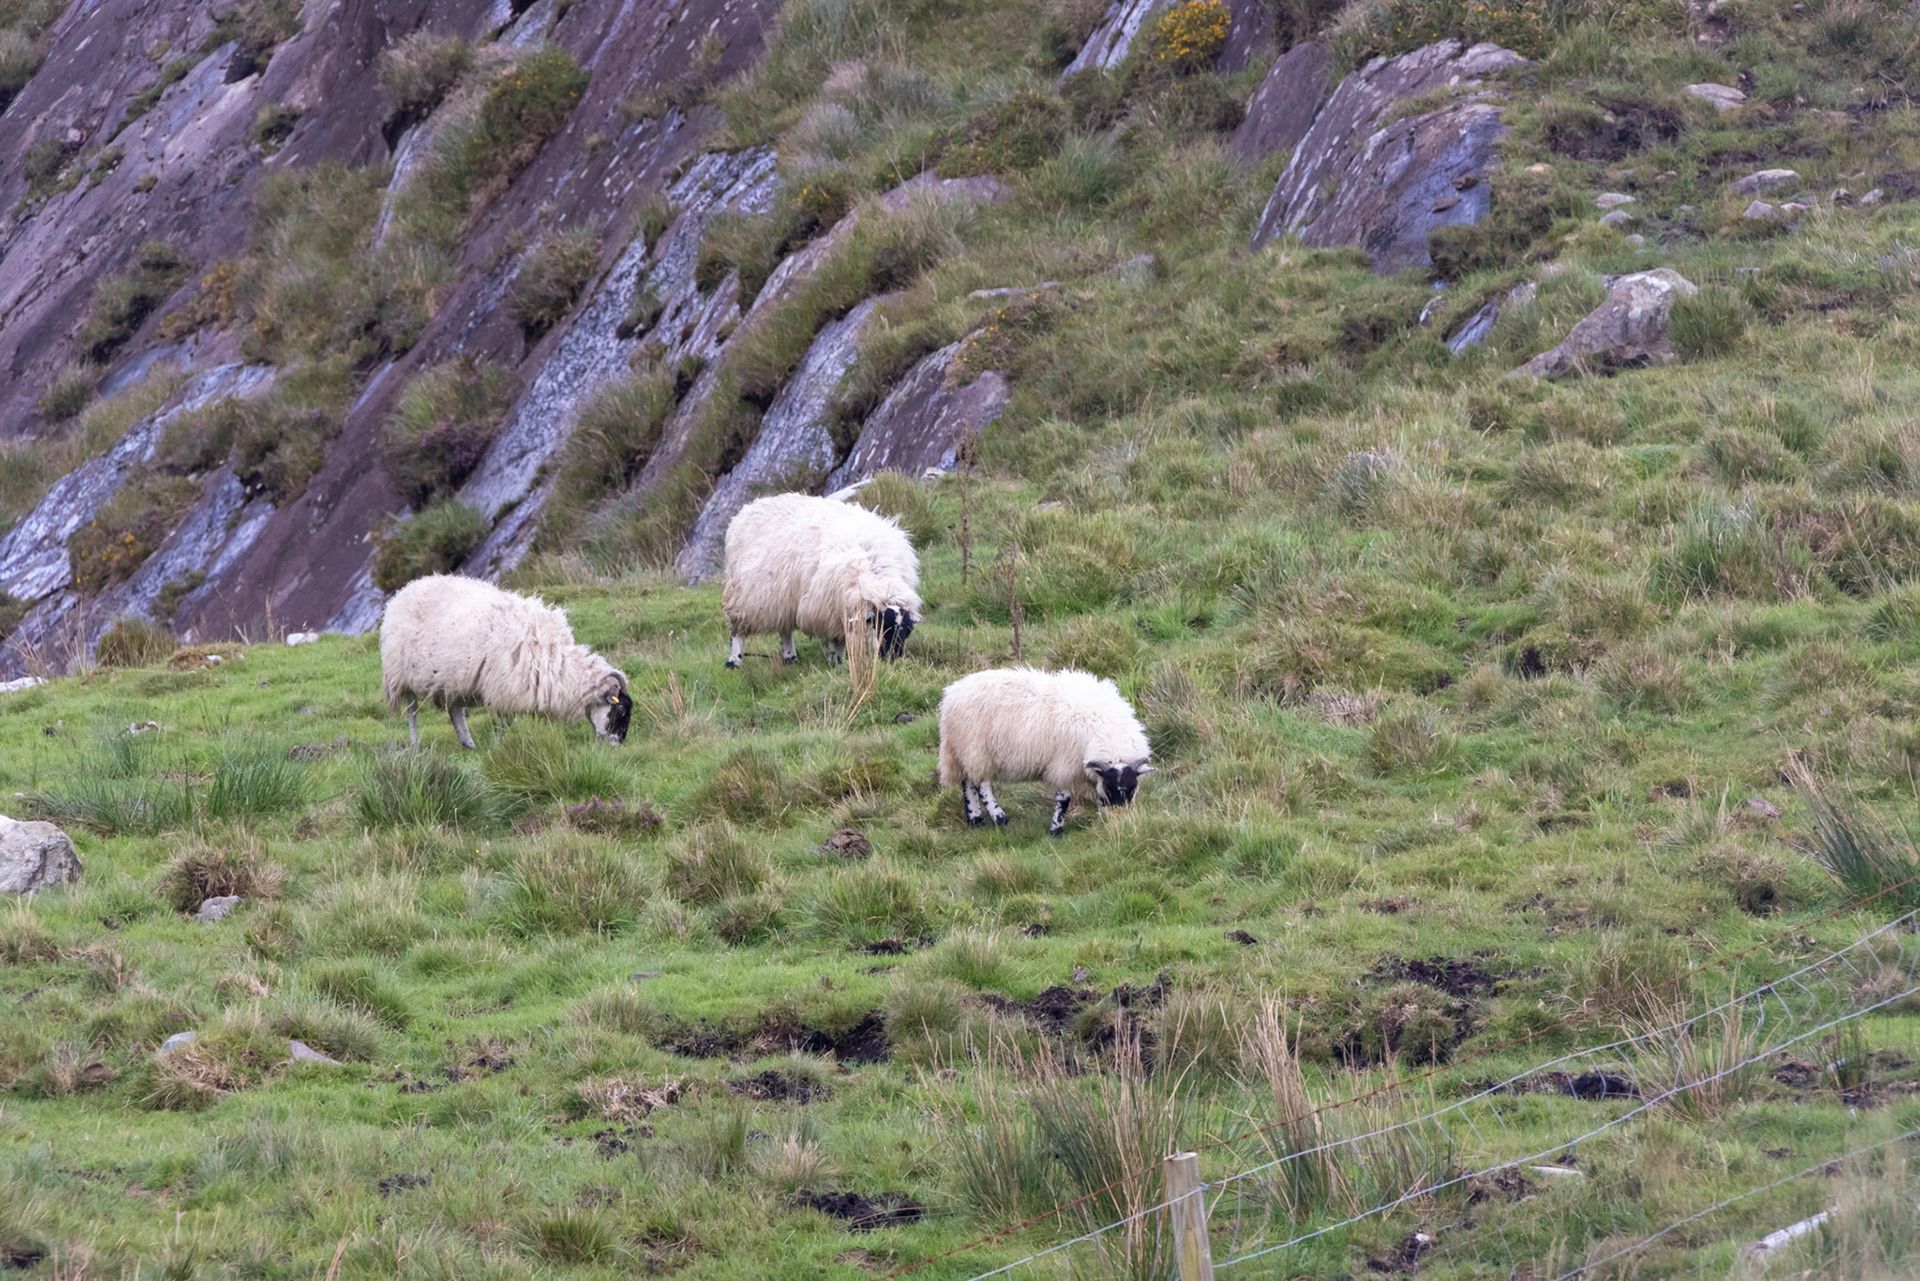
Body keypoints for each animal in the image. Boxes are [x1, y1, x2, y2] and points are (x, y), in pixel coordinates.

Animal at [379, 574, 633, 750]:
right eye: (619, 708)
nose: (618, 744)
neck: (560, 666)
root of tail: (405, 590)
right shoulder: (505, 687)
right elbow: (505, 721)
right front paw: (503, 744)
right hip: (400, 675)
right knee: (412, 711)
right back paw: (415, 743)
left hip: (454, 677)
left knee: (455, 711)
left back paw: (468, 743)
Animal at [720, 492, 922, 669]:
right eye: (883, 628)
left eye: (908, 632)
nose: (894, 659)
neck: (875, 574)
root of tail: (749, 507)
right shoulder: (831, 611)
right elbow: (836, 641)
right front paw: (836, 664)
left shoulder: (841, 611)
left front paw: (838, 663)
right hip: (741, 595)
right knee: (736, 630)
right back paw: (734, 662)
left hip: (783, 597)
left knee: (784, 628)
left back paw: (790, 659)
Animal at [937, 667, 1154, 837]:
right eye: (1112, 787)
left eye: (1132, 788)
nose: (1120, 816)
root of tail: (952, 694)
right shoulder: (1064, 764)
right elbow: (1064, 799)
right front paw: (1056, 830)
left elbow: (1097, 795)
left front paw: (1102, 819)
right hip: (976, 749)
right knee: (981, 785)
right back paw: (1000, 818)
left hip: (964, 750)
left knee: (968, 782)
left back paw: (975, 819)